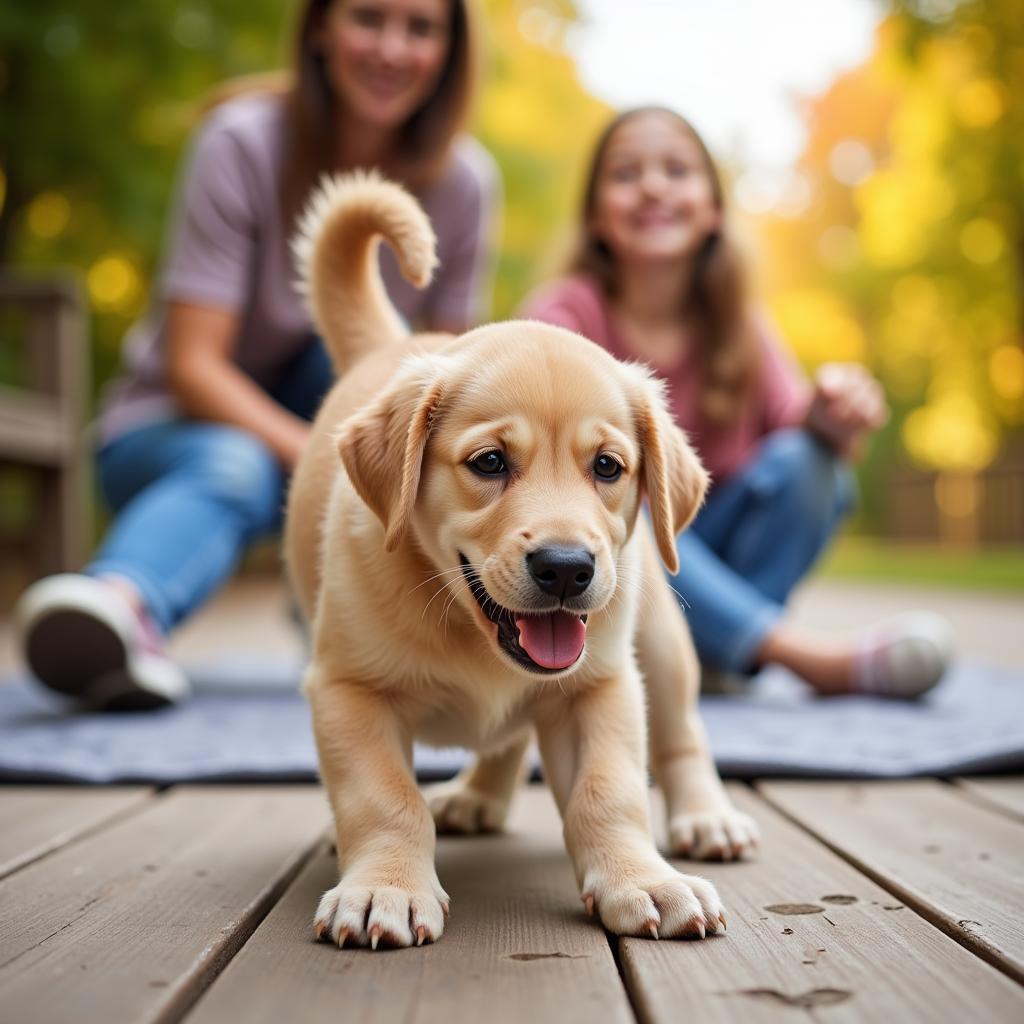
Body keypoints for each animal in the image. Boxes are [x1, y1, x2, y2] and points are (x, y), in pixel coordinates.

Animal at [284, 172, 757, 946]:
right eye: (489, 462)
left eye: (607, 466)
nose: (567, 568)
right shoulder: (347, 691)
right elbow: (384, 797)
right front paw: (386, 888)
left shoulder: (600, 687)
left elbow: (608, 792)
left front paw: (643, 880)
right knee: (504, 738)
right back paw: (474, 798)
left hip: (658, 639)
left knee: (682, 734)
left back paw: (705, 817)